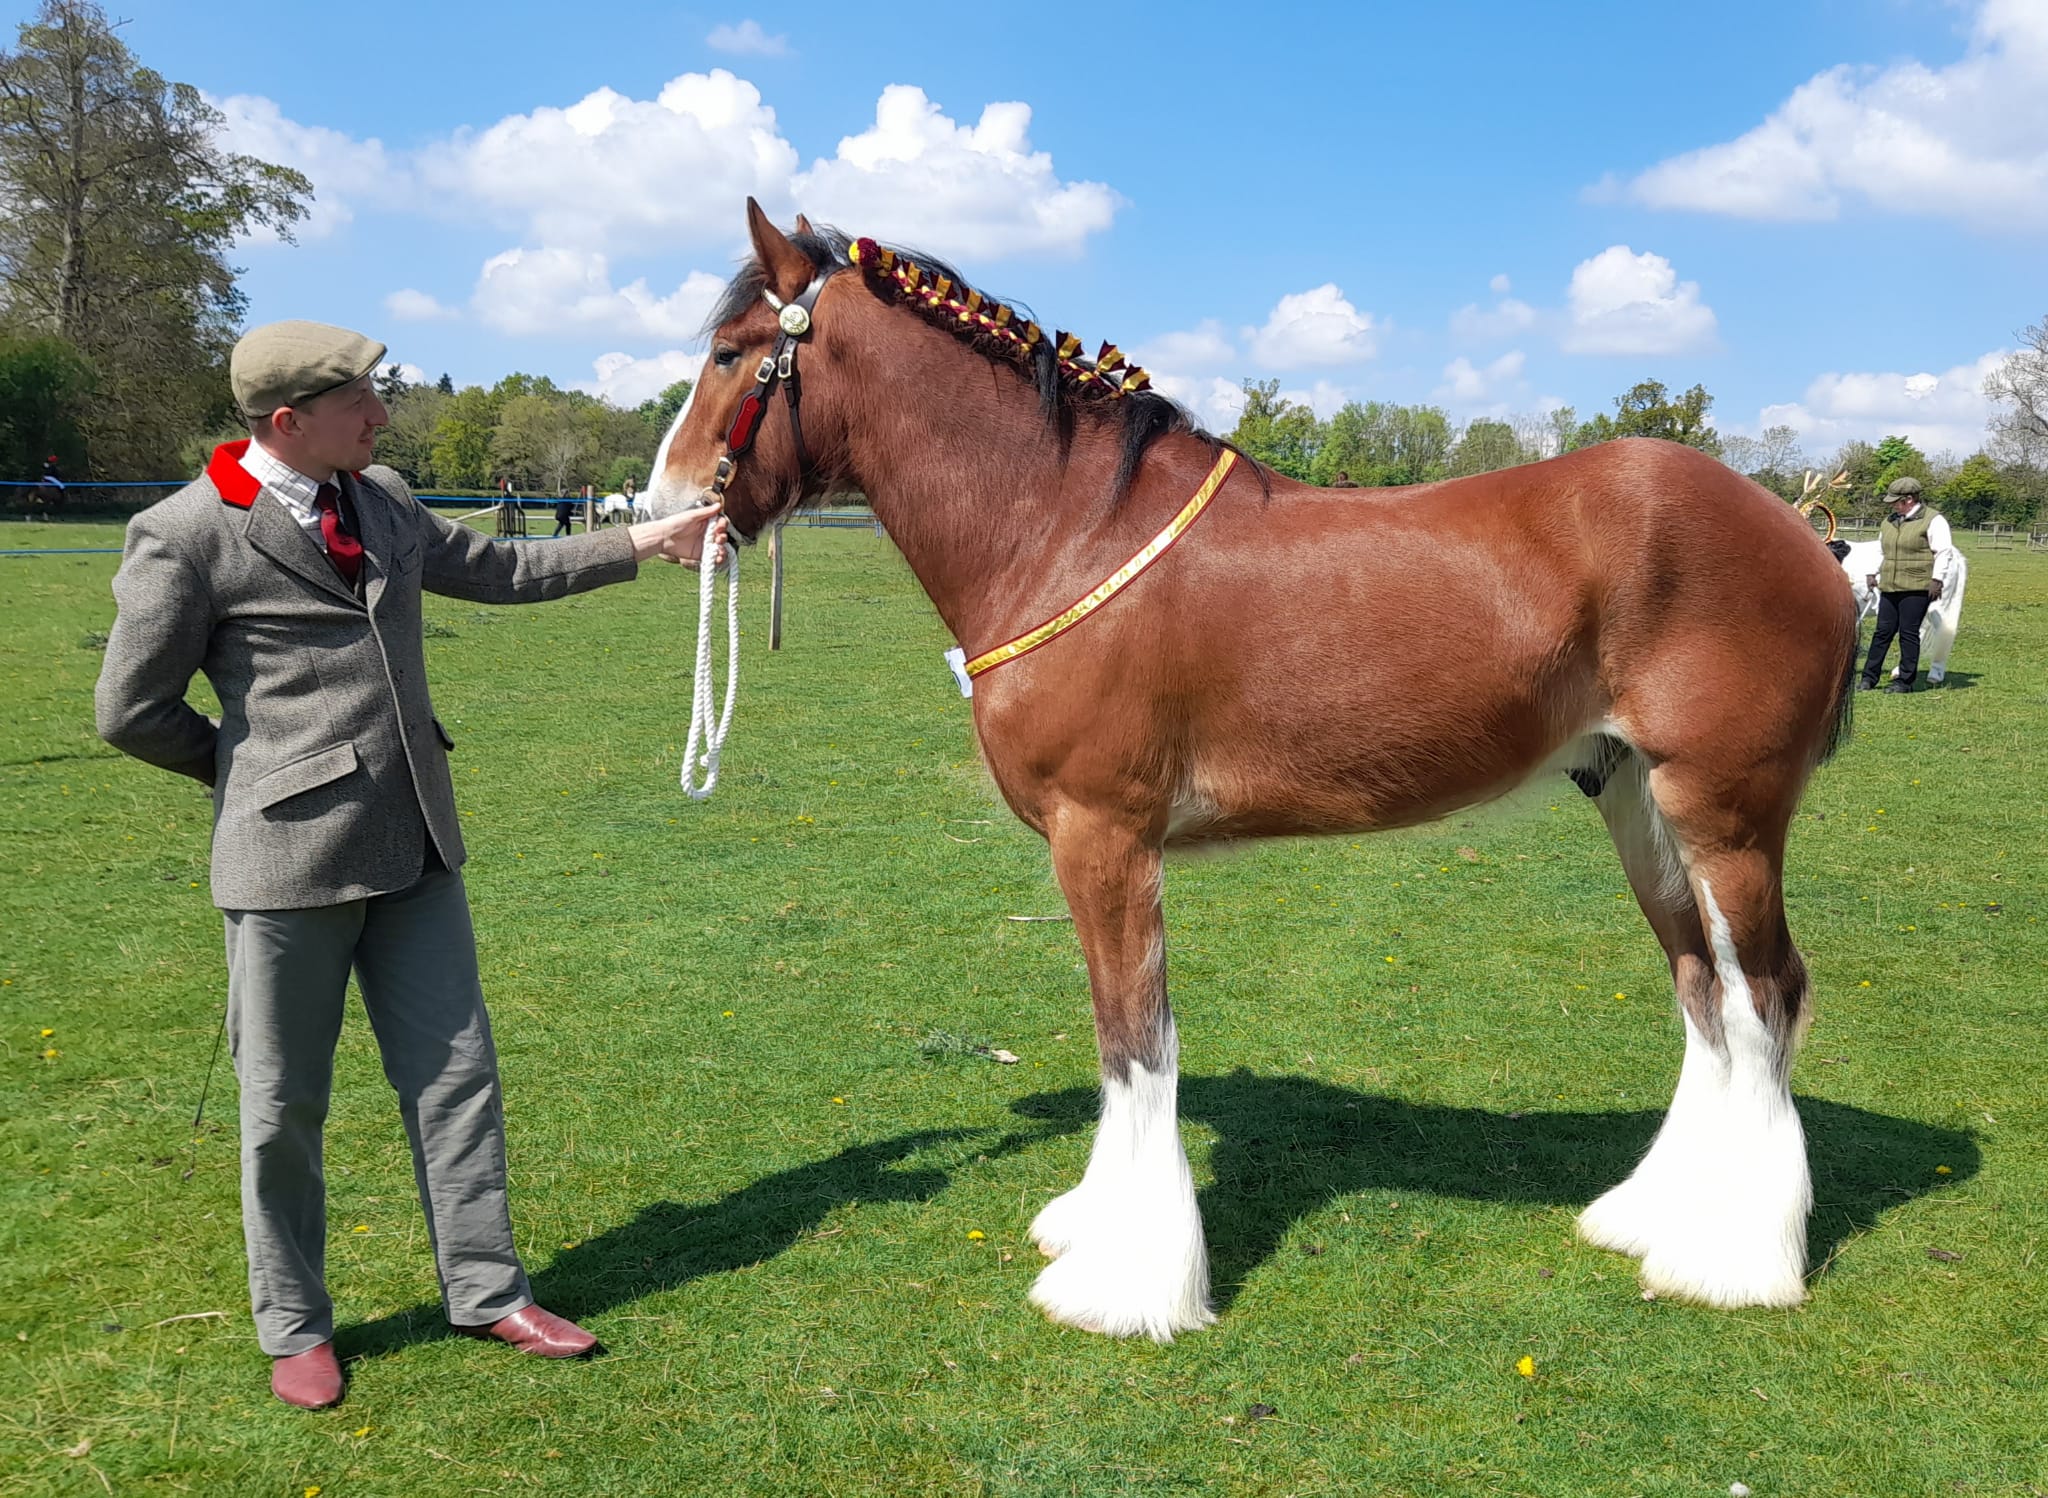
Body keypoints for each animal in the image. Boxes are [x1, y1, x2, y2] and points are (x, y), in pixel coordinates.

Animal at [647, 201, 1860, 1340]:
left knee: (1764, 994)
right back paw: (1658, 1214)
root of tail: (1807, 539)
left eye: (732, 354)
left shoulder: (1105, 836)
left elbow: (1134, 1041)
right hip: (1635, 802)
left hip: (1722, 811)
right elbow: (1120, 1044)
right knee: (1703, 990)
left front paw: (1126, 1283)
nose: (662, 511)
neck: (1063, 530)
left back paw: (1737, 1260)